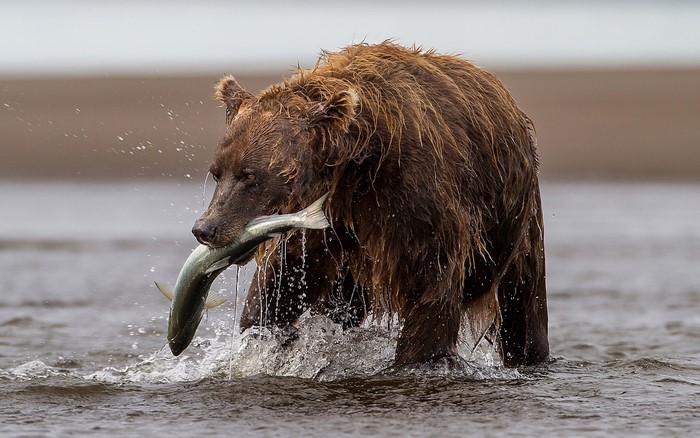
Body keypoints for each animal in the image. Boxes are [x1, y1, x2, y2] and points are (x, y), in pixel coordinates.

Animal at [192, 42, 549, 368]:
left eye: (249, 176)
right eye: (217, 172)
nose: (206, 228)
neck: (358, 161)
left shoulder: (417, 200)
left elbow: (433, 285)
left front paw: (417, 358)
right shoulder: (327, 217)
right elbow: (283, 278)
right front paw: (263, 335)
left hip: (517, 224)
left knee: (524, 308)